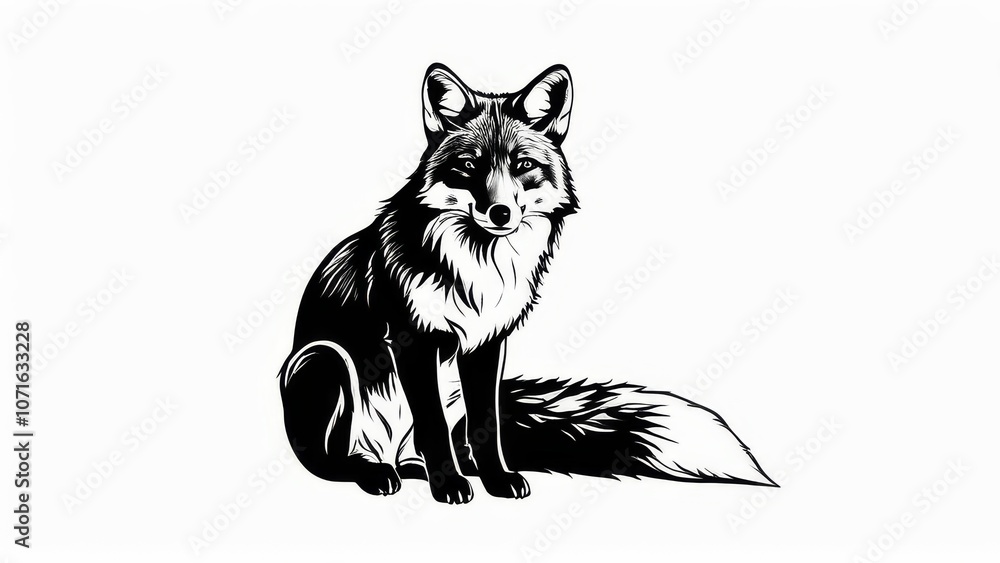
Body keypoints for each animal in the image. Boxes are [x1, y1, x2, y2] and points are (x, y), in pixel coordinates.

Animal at [279, 63, 774, 504]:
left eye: (523, 165)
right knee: (331, 462)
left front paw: (495, 480)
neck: (480, 270)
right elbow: (434, 427)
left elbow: (486, 426)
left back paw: (427, 469)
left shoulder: (485, 345)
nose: (500, 213)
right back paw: (377, 474)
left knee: (421, 448)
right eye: (468, 166)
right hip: (324, 361)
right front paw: (450, 486)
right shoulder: (412, 342)